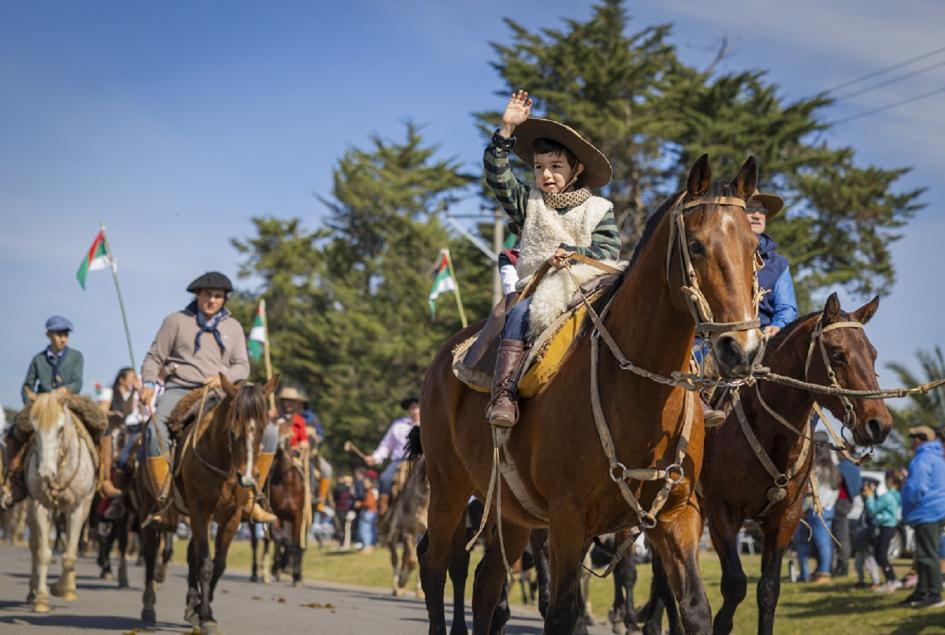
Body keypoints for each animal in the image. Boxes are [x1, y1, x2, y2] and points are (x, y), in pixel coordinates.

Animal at [21, 396, 99, 612]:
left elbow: (70, 552)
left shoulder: (77, 508)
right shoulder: (40, 506)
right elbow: (43, 553)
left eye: (60, 428)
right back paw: (31, 592)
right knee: (34, 546)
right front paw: (41, 599)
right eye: (34, 428)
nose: (46, 472)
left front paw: (65, 589)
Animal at [416, 155, 764, 635]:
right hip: (448, 489)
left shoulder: (678, 515)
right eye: (695, 245)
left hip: (509, 511)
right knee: (435, 565)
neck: (637, 394)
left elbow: (694, 608)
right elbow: (563, 612)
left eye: (755, 246)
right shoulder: (568, 522)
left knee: (487, 583)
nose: (741, 349)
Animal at [700, 294, 892, 635]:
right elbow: (734, 585)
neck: (769, 433)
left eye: (873, 355)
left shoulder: (785, 517)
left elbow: (768, 590)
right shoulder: (720, 511)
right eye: (838, 355)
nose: (879, 425)